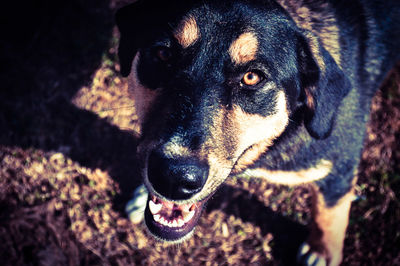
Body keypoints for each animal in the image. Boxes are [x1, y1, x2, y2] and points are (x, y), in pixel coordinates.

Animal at [117, 1, 398, 264]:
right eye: (163, 54)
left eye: (252, 77)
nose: (173, 179)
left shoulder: (339, 167)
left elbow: (329, 213)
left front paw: (322, 251)